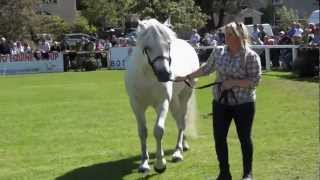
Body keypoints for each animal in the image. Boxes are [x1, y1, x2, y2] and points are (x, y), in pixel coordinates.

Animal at [124, 18, 199, 173]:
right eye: (146, 48)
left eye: (168, 44)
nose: (164, 74)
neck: (147, 75)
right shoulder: (137, 105)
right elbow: (143, 132)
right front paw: (144, 163)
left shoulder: (162, 102)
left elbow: (158, 130)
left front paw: (160, 164)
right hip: (174, 101)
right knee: (179, 120)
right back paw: (183, 145)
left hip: (184, 97)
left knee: (182, 121)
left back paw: (178, 152)